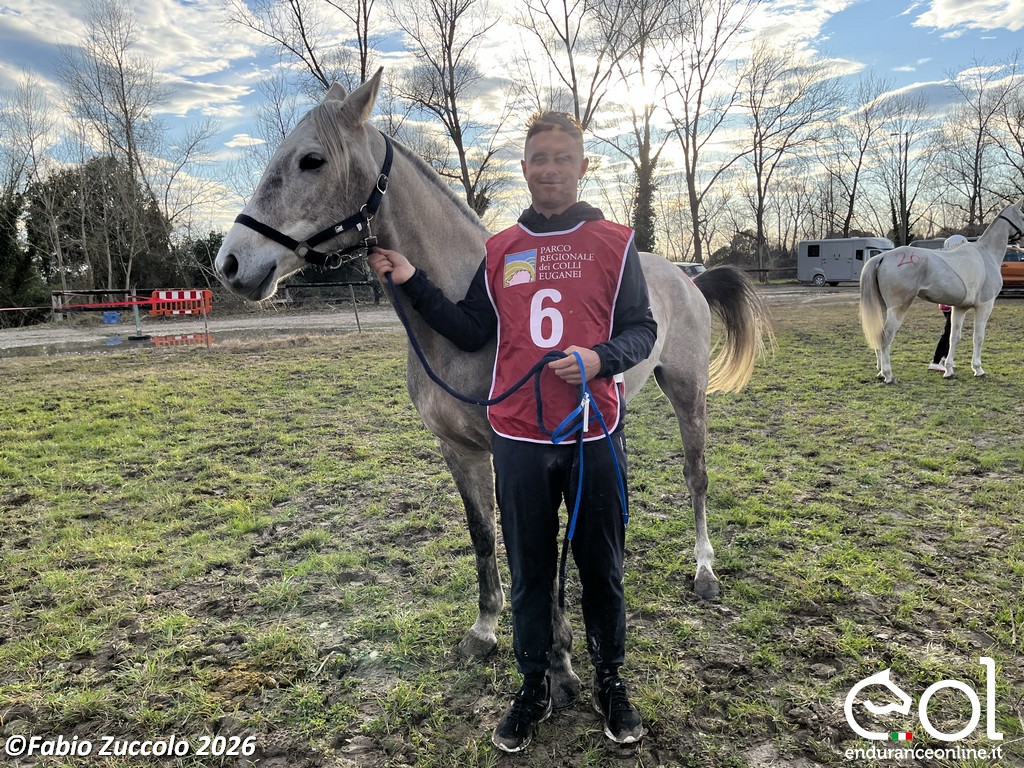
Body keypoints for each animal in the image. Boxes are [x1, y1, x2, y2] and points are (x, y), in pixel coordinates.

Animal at [215, 69, 771, 707]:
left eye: (311, 159)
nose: (230, 263)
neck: (465, 319)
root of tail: (686, 276)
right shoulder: (458, 451)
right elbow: (484, 537)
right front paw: (484, 630)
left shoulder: (523, 453)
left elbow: (537, 549)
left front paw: (560, 662)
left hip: (687, 392)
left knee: (696, 477)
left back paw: (705, 570)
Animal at [860, 199, 1024, 384]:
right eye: (1023, 216)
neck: (986, 254)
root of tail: (882, 257)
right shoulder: (984, 306)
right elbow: (978, 337)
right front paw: (978, 369)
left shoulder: (959, 308)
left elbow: (954, 338)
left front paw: (949, 370)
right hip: (898, 308)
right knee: (886, 335)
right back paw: (888, 375)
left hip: (882, 308)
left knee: (878, 334)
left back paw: (881, 372)